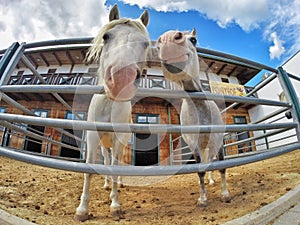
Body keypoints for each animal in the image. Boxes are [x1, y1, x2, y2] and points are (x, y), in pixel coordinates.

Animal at [74, 5, 151, 221]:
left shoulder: (118, 140)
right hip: (103, 146)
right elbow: (88, 170)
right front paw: (82, 209)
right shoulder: (92, 138)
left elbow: (116, 168)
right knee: (107, 161)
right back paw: (107, 184)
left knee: (116, 164)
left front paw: (115, 205)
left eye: (145, 44)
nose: (120, 79)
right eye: (106, 36)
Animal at [158, 29, 231, 207]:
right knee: (205, 163)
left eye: (194, 40)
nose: (169, 38)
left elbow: (222, 166)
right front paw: (202, 199)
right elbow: (200, 170)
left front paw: (225, 194)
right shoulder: (193, 145)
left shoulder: (218, 140)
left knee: (211, 160)